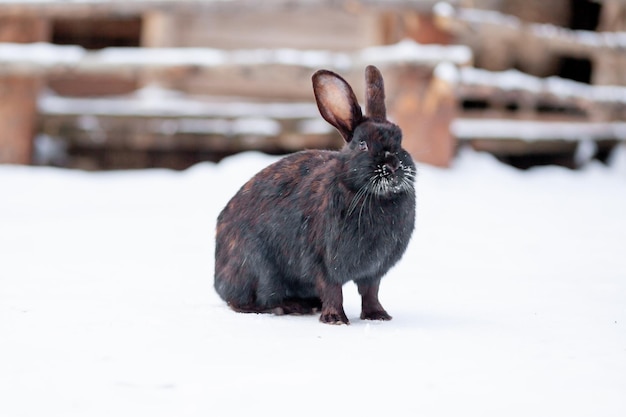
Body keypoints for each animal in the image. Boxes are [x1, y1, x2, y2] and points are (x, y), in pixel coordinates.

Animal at [213, 66, 414, 324]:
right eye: (363, 144)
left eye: (400, 140)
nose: (393, 165)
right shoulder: (324, 262)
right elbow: (333, 290)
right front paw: (336, 319)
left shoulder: (373, 272)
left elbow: (370, 292)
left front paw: (378, 316)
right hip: (259, 268)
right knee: (243, 301)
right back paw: (286, 307)